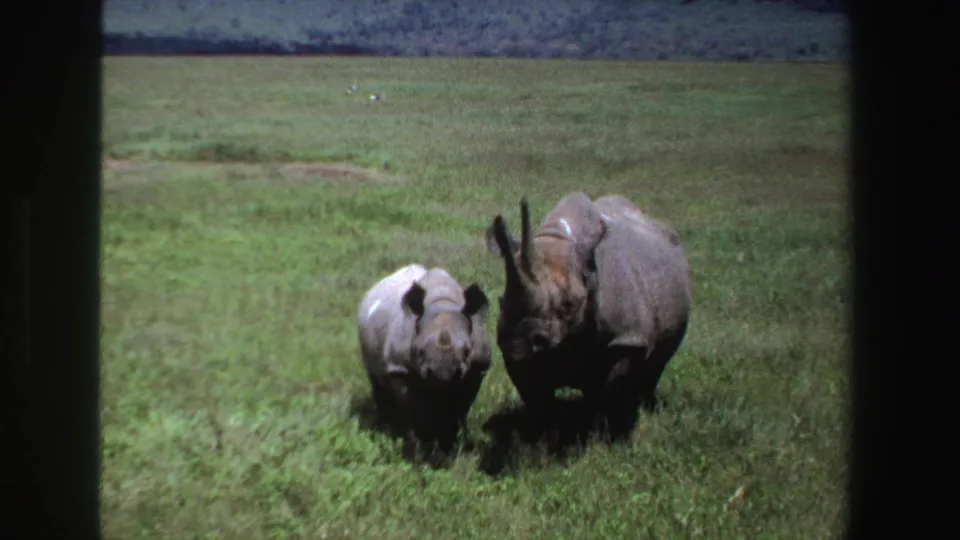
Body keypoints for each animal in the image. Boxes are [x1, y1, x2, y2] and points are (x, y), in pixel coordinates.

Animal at [356, 263, 493, 452]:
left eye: (467, 350)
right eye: (419, 351)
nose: (443, 375)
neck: (443, 302)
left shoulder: (477, 369)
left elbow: (461, 407)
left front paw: (451, 442)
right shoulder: (400, 369)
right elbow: (415, 410)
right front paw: (422, 446)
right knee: (376, 379)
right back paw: (386, 426)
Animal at [484, 192, 692, 438]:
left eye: (569, 305)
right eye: (501, 300)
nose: (520, 340)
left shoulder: (627, 338)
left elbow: (609, 390)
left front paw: (599, 436)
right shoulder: (518, 353)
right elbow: (537, 398)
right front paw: (543, 436)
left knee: (658, 362)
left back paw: (645, 406)